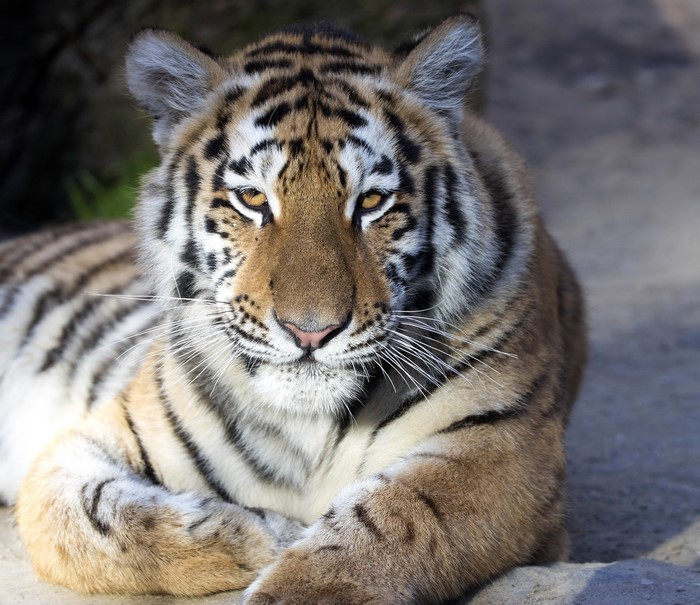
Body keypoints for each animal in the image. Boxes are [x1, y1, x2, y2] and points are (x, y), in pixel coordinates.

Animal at [0, 15, 587, 604]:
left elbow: (397, 519)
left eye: (371, 202)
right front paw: (268, 531)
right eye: (253, 200)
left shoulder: (507, 442)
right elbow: (80, 523)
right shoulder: (96, 436)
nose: (310, 333)